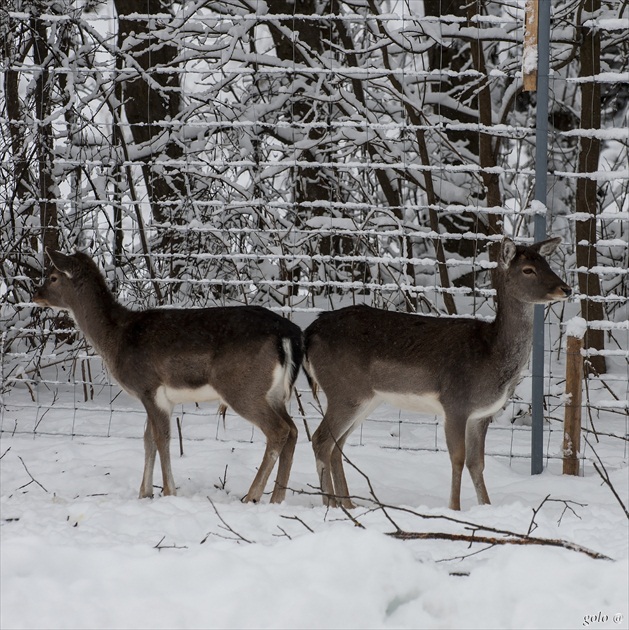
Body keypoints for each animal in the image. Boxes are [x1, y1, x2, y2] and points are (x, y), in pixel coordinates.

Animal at [33, 251, 302, 504]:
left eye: (53, 277)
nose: (36, 294)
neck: (117, 339)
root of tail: (290, 333)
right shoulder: (155, 396)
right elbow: (147, 439)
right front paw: (144, 493)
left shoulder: (149, 386)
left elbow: (161, 438)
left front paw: (168, 492)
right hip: (274, 392)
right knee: (293, 429)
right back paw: (277, 498)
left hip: (242, 387)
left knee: (278, 430)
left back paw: (252, 495)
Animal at [302, 239, 572, 512]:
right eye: (528, 270)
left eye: (547, 263)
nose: (566, 289)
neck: (490, 356)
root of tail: (309, 333)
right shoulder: (455, 403)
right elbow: (458, 458)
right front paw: (455, 508)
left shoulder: (481, 415)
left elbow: (477, 463)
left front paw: (486, 506)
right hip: (345, 392)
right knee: (320, 439)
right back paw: (330, 505)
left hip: (366, 399)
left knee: (337, 445)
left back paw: (349, 505)